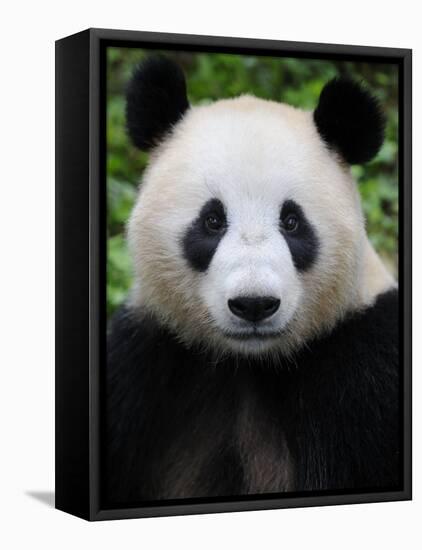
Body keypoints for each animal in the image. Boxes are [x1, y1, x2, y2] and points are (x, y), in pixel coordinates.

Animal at [105, 57, 398, 508]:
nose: (254, 304)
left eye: (292, 221)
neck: (249, 363)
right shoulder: (141, 362)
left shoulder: (366, 373)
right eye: (212, 220)